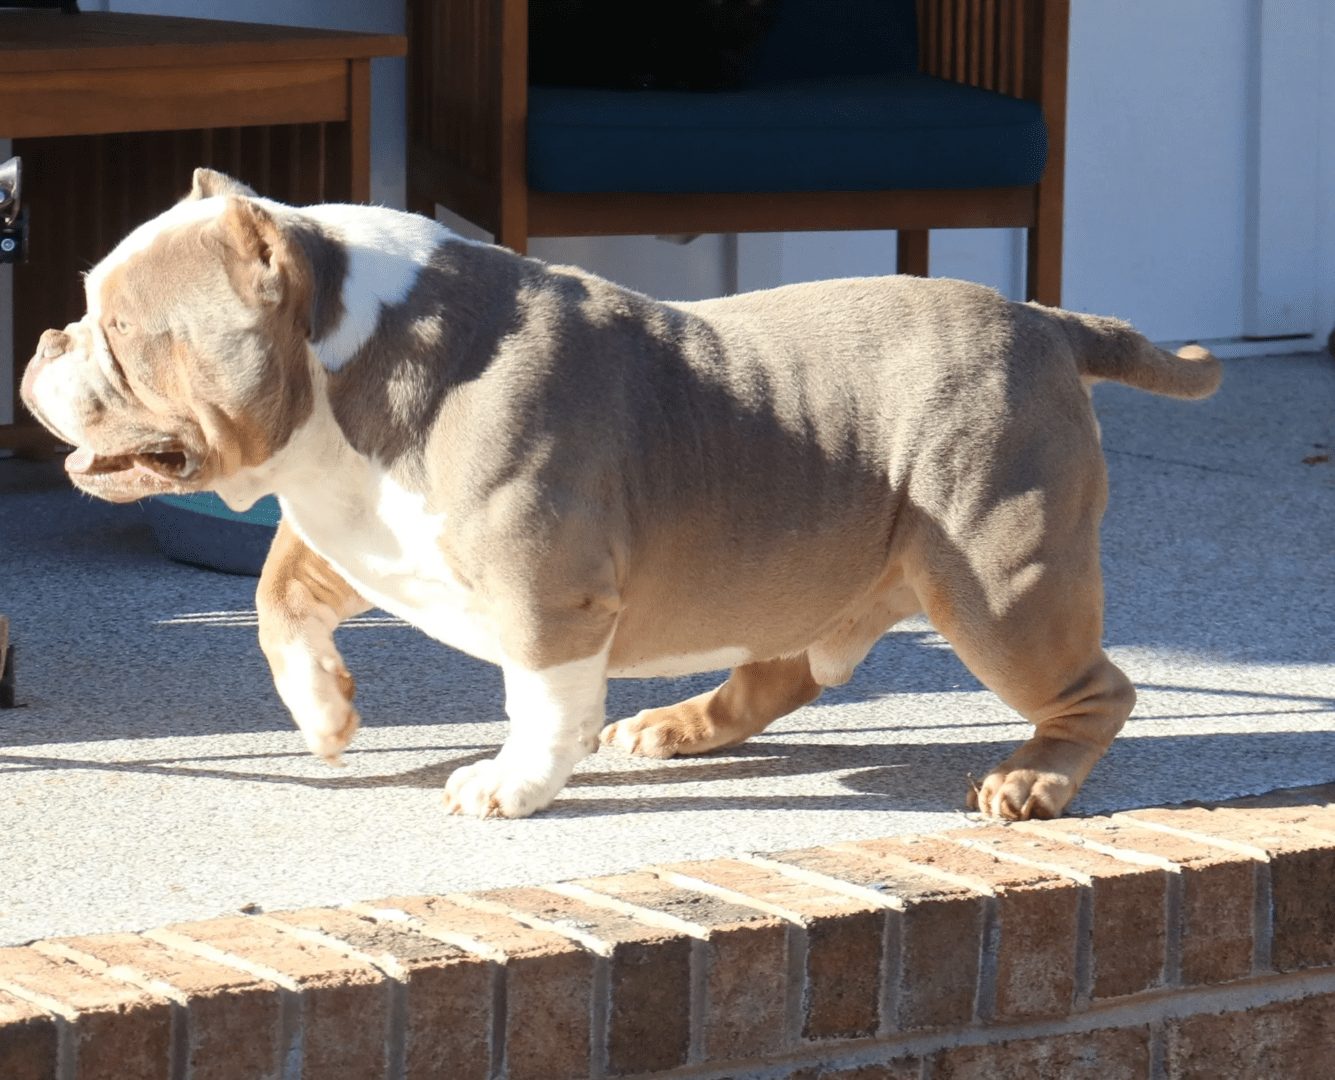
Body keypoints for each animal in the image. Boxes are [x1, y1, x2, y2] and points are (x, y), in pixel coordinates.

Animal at [18, 170, 1222, 817]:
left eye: (120, 330)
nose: (41, 341)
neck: (341, 367)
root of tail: (1049, 321)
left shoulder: (546, 598)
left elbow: (540, 701)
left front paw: (512, 784)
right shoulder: (358, 533)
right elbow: (275, 604)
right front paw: (323, 715)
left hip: (1001, 586)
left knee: (1095, 689)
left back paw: (1035, 780)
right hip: (815, 568)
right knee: (782, 666)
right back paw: (677, 724)